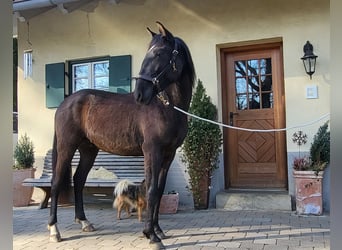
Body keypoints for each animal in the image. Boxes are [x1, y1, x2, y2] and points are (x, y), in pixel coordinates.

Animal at [47, 22, 195, 248]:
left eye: (159, 53)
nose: (140, 94)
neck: (166, 108)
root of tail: (65, 102)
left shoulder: (168, 155)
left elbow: (160, 190)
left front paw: (158, 231)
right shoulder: (152, 152)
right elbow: (151, 190)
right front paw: (151, 236)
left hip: (88, 150)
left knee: (79, 180)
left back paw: (84, 222)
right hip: (66, 147)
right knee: (56, 182)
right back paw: (54, 230)